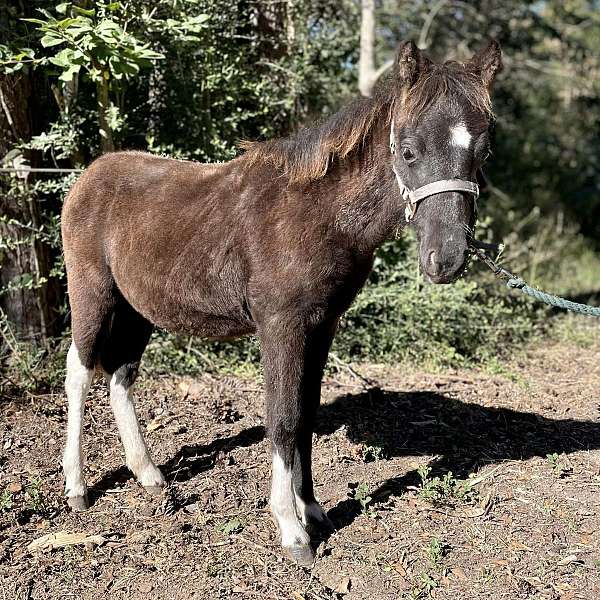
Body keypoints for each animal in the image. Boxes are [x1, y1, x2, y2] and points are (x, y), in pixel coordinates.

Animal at [61, 39, 502, 564]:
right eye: (409, 150)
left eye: (482, 151)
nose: (446, 259)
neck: (320, 215)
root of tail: (89, 176)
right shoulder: (281, 326)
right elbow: (284, 420)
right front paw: (293, 531)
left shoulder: (322, 324)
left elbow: (306, 416)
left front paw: (314, 511)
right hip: (93, 293)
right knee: (80, 372)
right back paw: (77, 488)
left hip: (138, 309)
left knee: (120, 376)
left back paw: (150, 476)